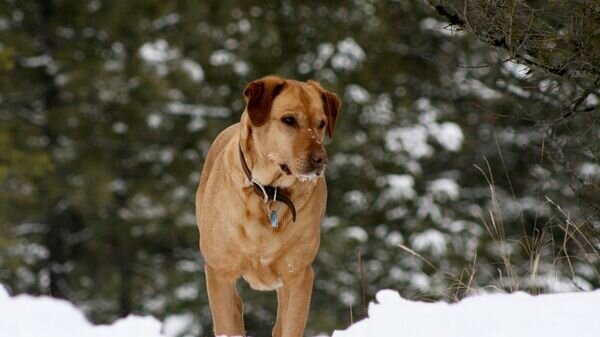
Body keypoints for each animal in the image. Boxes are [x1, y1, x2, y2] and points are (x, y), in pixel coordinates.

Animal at [196, 75, 340, 334]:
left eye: (322, 123)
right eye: (289, 120)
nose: (320, 160)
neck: (269, 193)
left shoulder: (298, 274)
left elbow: (290, 327)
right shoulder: (219, 271)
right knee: (236, 307)